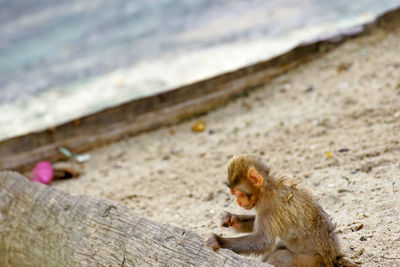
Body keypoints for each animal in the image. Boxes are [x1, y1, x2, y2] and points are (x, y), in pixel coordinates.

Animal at [206, 156, 356, 266]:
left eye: (239, 193)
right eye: (233, 193)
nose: (238, 201)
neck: (266, 188)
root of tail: (333, 257)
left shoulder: (270, 203)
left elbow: (263, 240)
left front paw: (219, 241)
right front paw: (232, 219)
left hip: (312, 261)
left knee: (283, 257)